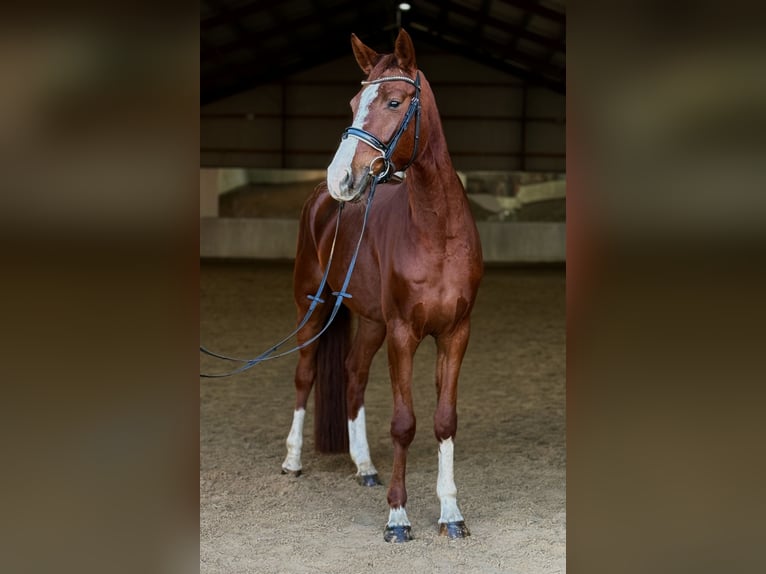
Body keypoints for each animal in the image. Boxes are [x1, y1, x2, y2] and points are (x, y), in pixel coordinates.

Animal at [280, 28, 483, 543]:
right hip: (312, 304)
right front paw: (398, 517)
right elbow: (404, 423)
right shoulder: (402, 335)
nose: (341, 178)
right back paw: (292, 460)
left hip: (370, 321)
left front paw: (452, 514)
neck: (436, 233)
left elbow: (444, 421)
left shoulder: (455, 333)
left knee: (353, 373)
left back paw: (365, 467)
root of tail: (319, 199)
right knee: (305, 375)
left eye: (394, 101)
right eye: (355, 102)